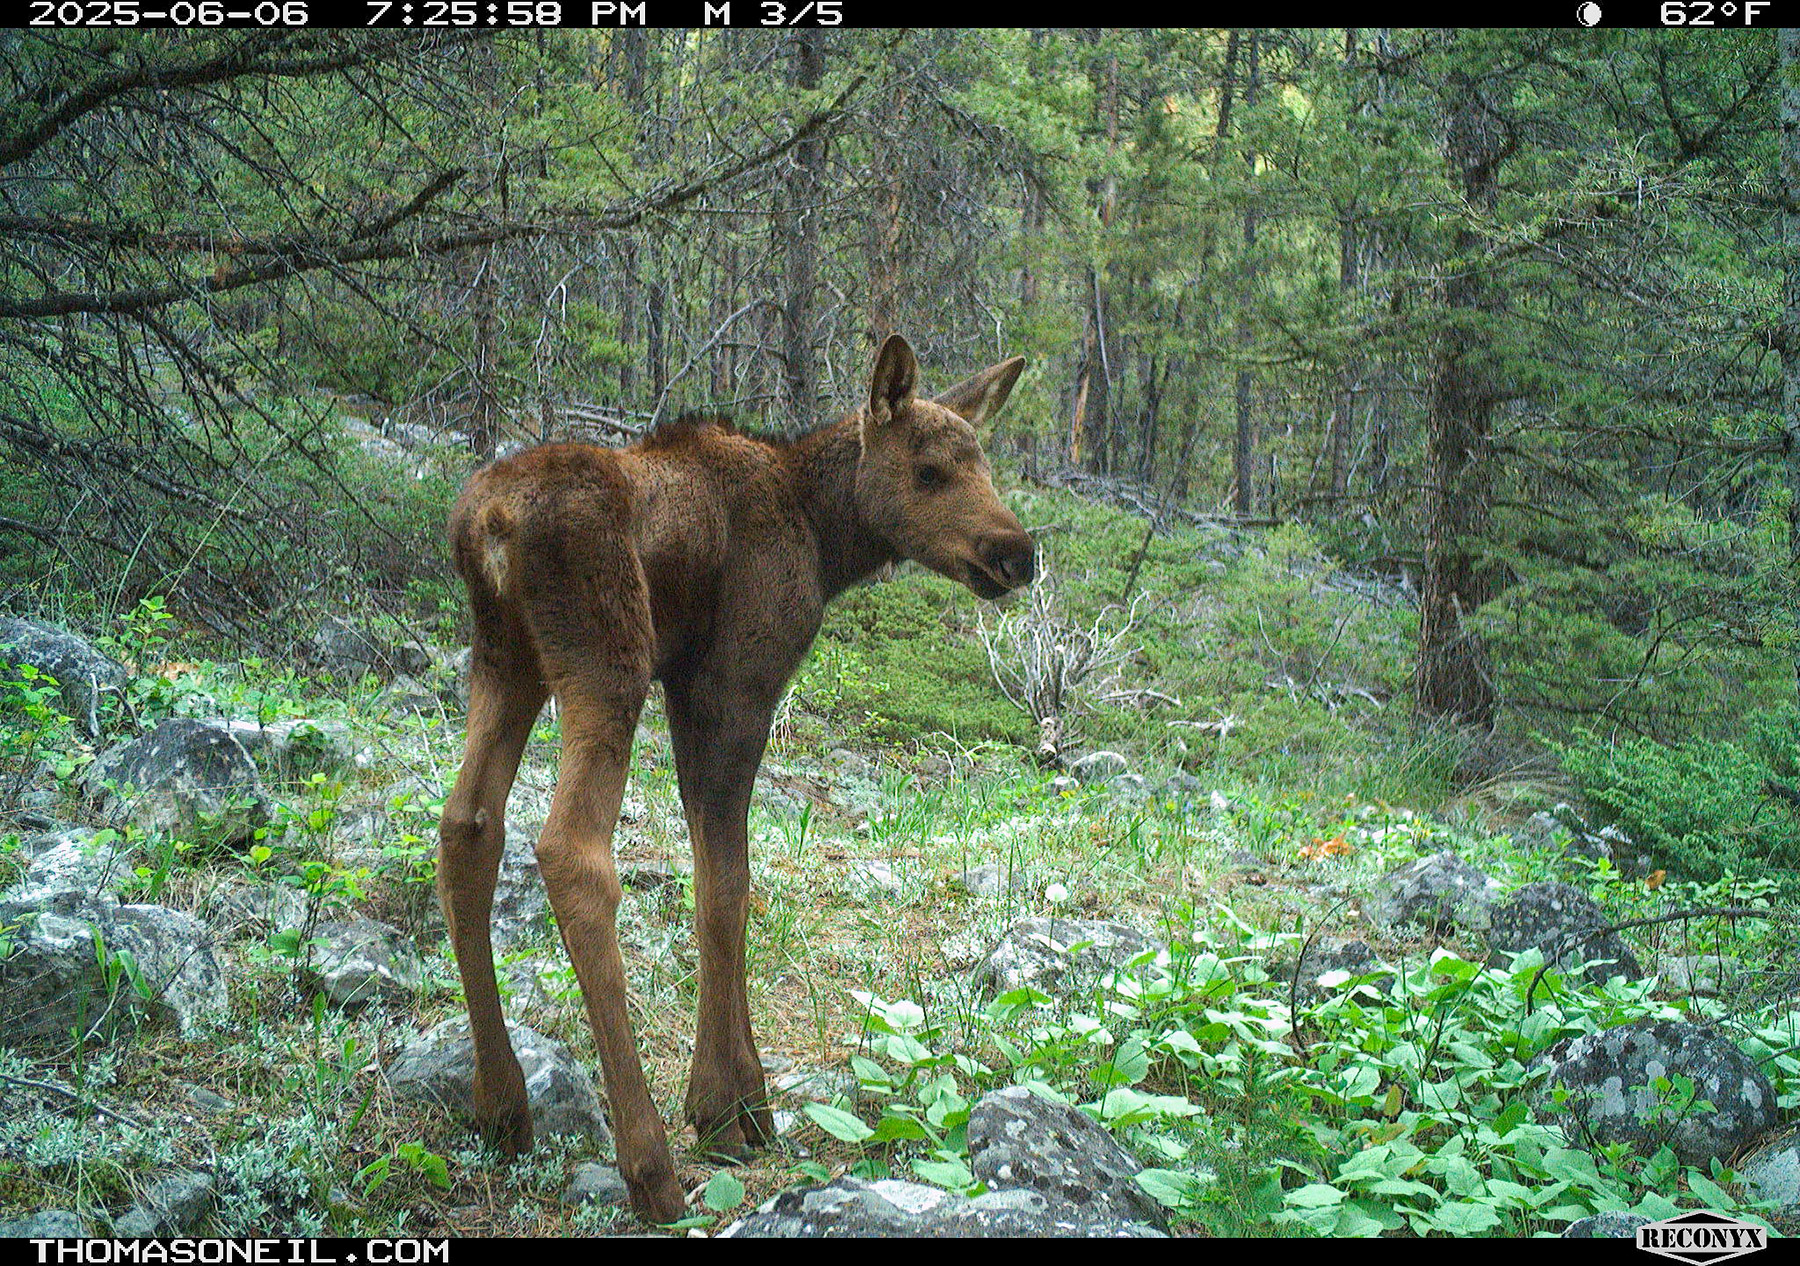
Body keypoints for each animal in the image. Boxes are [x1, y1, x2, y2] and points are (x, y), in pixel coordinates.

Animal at [436, 335, 1036, 1222]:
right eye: (929, 471)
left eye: (984, 463)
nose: (1017, 553)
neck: (827, 537)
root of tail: (491, 524)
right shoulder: (731, 683)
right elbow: (728, 887)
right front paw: (725, 1107)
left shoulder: (690, 689)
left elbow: (718, 876)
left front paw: (744, 1097)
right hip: (608, 661)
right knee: (571, 851)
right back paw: (649, 1164)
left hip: (506, 659)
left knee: (467, 824)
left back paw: (502, 1105)